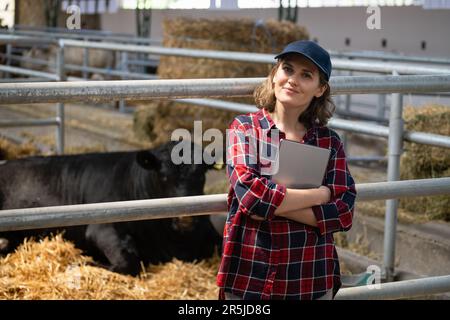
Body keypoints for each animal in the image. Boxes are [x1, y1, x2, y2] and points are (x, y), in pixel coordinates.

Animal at [0, 141, 222, 276]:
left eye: (201, 174)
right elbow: (129, 263)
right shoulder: (102, 228)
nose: (186, 218)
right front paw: (80, 263)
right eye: (163, 175)